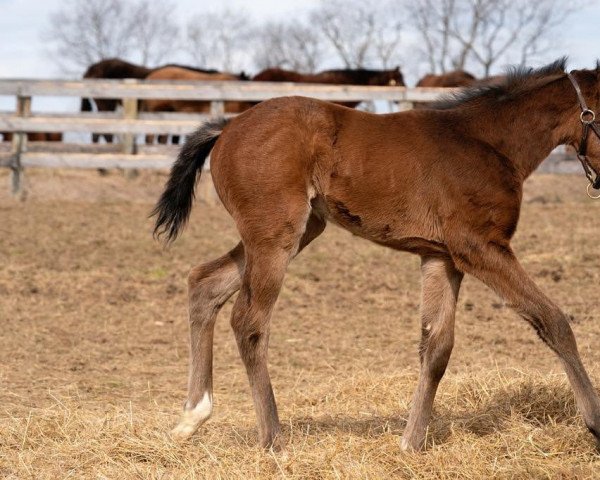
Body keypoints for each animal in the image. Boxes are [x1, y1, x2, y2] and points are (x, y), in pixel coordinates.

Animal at [154, 58, 600, 452]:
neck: (489, 143)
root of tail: (227, 126)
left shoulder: (442, 257)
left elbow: (437, 348)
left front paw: (411, 442)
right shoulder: (480, 247)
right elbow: (553, 320)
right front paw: (594, 422)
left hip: (294, 231)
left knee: (204, 283)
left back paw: (191, 418)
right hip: (275, 236)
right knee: (249, 320)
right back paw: (272, 440)